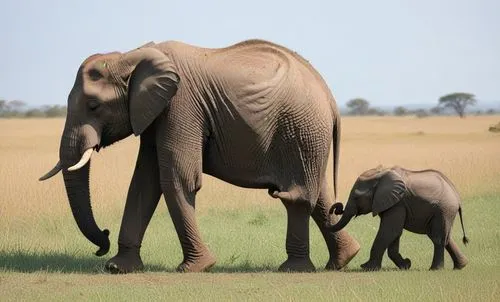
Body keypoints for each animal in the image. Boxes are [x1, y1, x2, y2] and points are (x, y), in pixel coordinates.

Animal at [39, 39, 360, 274]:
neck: (129, 56)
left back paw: (293, 269)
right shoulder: (155, 114)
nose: (101, 242)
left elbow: (175, 178)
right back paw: (341, 261)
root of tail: (330, 96)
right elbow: (144, 182)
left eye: (94, 106)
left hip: (300, 128)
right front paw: (119, 268)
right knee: (317, 192)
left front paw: (195, 268)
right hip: (307, 135)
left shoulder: (180, 107)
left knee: (297, 195)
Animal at [328, 165, 468, 272]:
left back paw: (435, 269)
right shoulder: (390, 203)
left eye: (356, 197)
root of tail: (457, 196)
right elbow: (394, 234)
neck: (380, 174)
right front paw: (406, 265)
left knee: (438, 238)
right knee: (444, 237)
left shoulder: (397, 204)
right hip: (444, 211)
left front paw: (367, 268)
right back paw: (461, 266)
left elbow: (389, 231)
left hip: (444, 209)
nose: (336, 208)